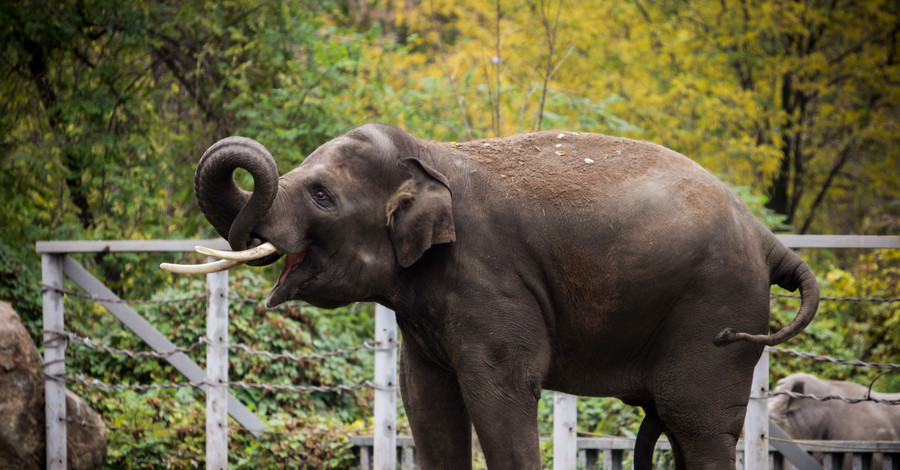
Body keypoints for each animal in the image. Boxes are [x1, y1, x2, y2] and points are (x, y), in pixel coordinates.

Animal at [160, 123, 816, 468]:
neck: (427, 155)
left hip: (715, 315)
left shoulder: (492, 286)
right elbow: (426, 401)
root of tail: (767, 238)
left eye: (321, 196)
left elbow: (499, 395)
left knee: (699, 425)